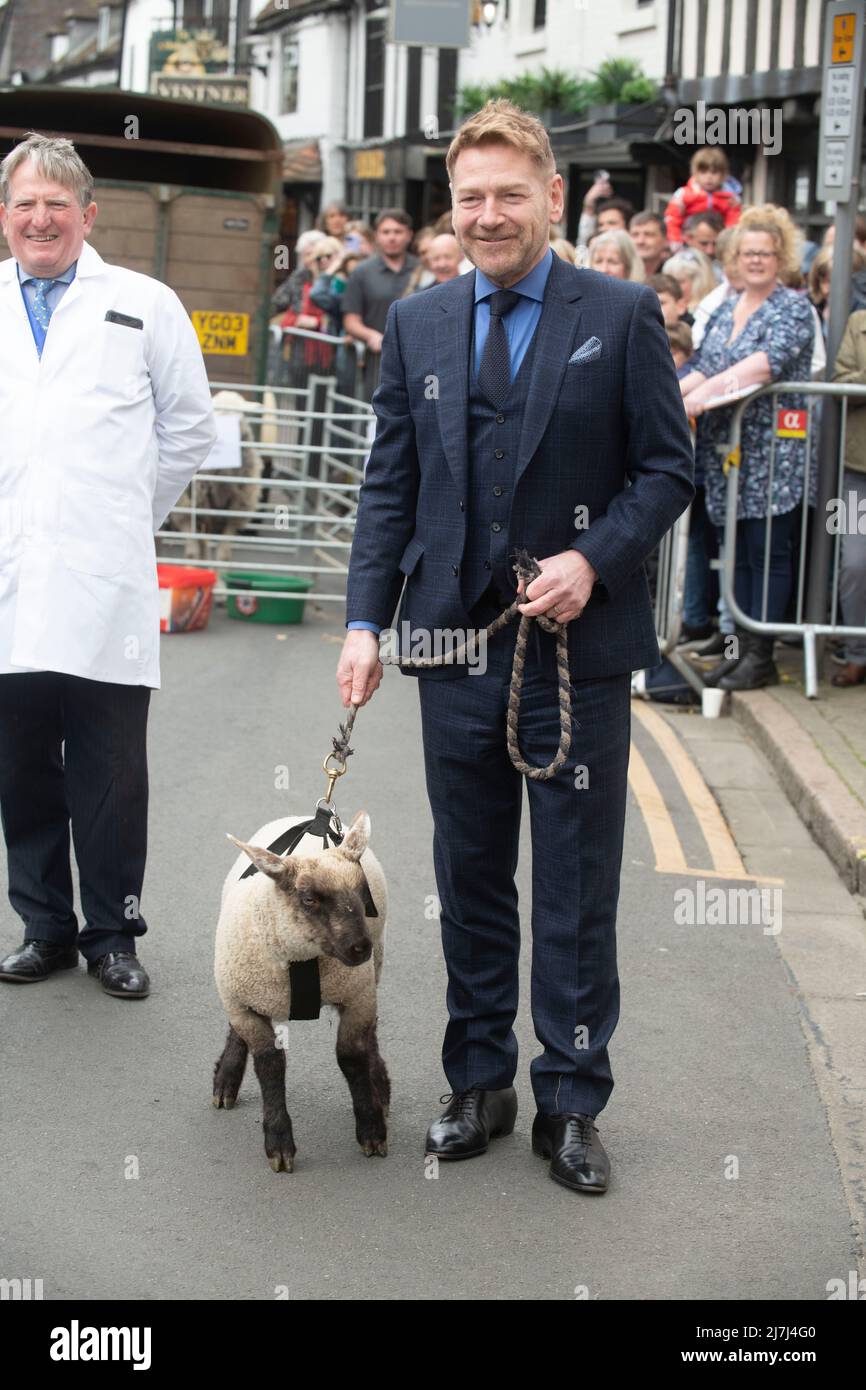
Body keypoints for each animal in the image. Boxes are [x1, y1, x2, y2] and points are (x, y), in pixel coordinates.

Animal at [214, 811, 389, 1167]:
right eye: (309, 898)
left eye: (362, 892)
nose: (359, 948)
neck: (303, 959)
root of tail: (304, 818)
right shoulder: (245, 1007)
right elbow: (270, 1065)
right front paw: (279, 1143)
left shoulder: (357, 996)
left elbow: (352, 1056)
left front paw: (371, 1128)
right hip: (237, 990)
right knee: (236, 1030)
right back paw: (226, 1080)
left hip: (373, 971)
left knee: (372, 1034)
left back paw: (380, 1081)